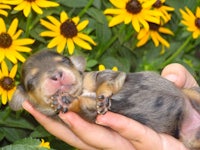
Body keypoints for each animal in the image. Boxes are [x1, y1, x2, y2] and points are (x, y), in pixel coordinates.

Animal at [9, 49, 200, 149]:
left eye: (65, 60)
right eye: (31, 81)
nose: (57, 75)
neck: (81, 90)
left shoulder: (104, 75)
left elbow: (106, 81)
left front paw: (103, 97)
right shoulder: (87, 114)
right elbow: (82, 105)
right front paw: (66, 101)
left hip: (192, 93)